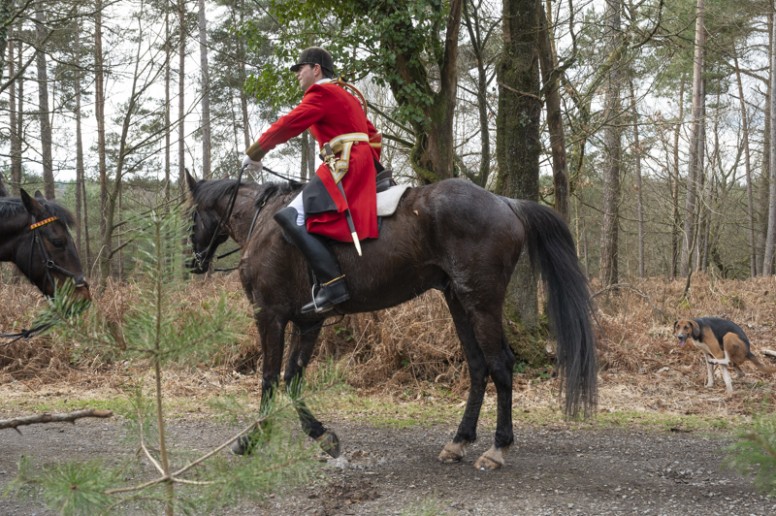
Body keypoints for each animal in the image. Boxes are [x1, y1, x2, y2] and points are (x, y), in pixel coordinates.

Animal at [185, 171, 596, 470]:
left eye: (191, 214)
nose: (192, 262)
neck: (264, 225)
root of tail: (505, 202)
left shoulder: (269, 315)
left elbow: (271, 380)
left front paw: (252, 439)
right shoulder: (307, 323)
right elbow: (292, 379)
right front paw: (323, 437)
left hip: (481, 303)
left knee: (500, 365)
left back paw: (497, 449)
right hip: (458, 301)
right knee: (478, 367)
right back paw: (458, 442)